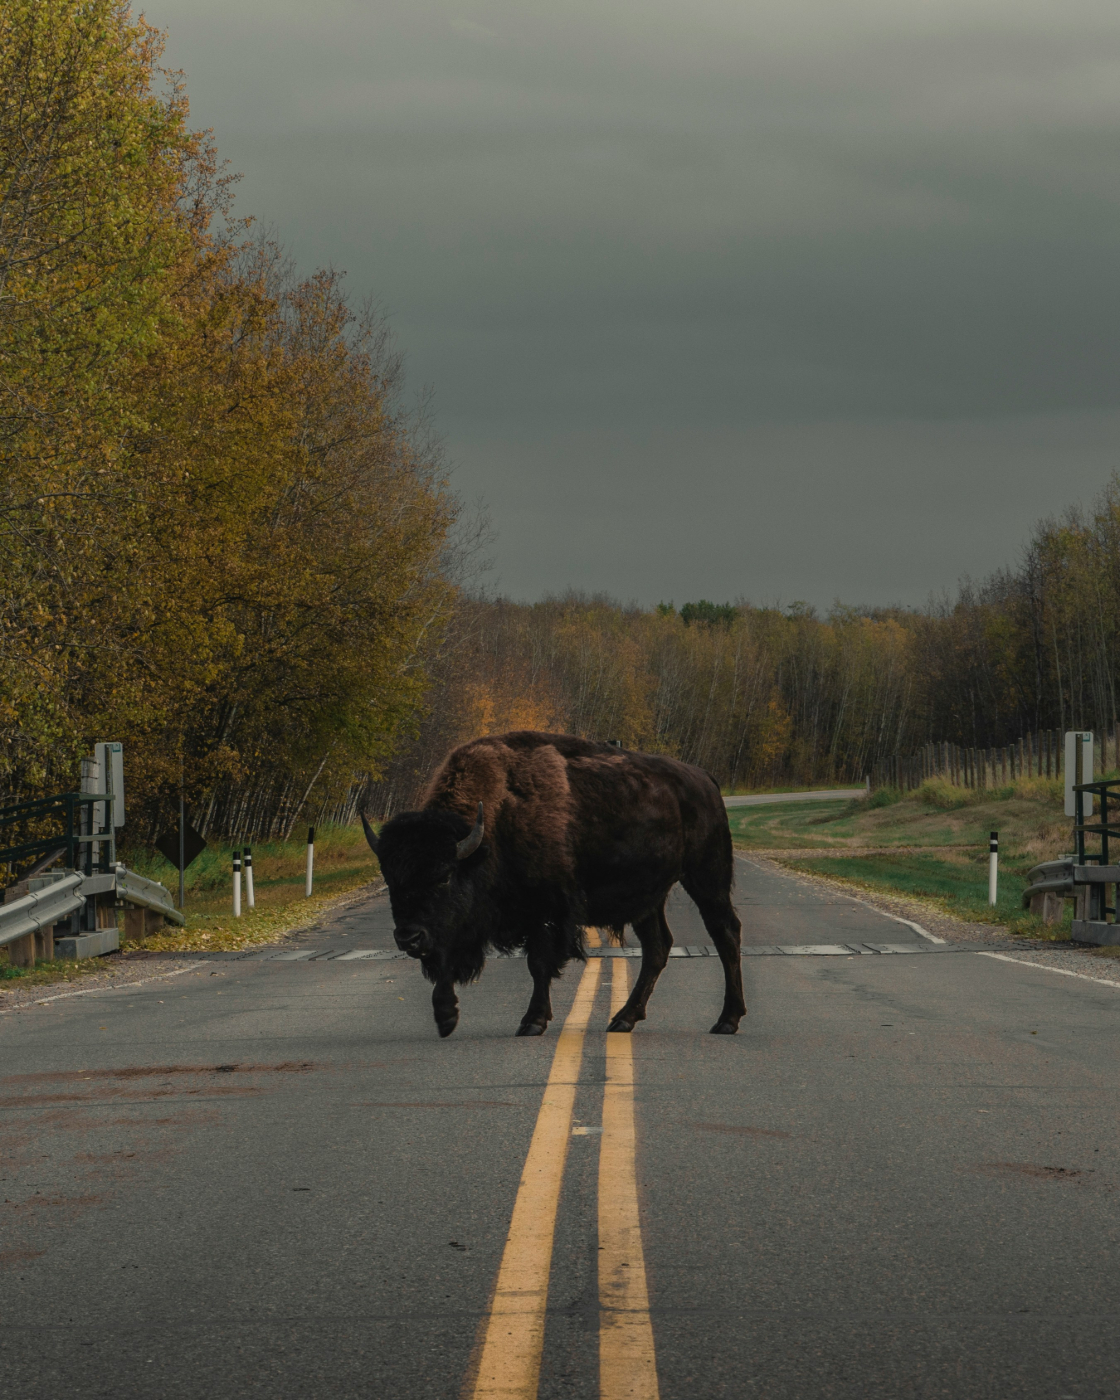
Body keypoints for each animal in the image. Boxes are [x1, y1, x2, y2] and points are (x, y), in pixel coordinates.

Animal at [362, 730, 745, 1038]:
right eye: (391, 879)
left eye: (443, 875)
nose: (407, 937)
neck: (494, 825)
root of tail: (705, 779)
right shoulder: (459, 927)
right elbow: (446, 960)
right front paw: (445, 1018)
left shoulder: (546, 912)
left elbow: (539, 965)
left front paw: (532, 1021)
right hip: (648, 898)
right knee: (658, 947)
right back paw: (624, 1019)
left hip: (707, 876)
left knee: (725, 933)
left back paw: (727, 1020)